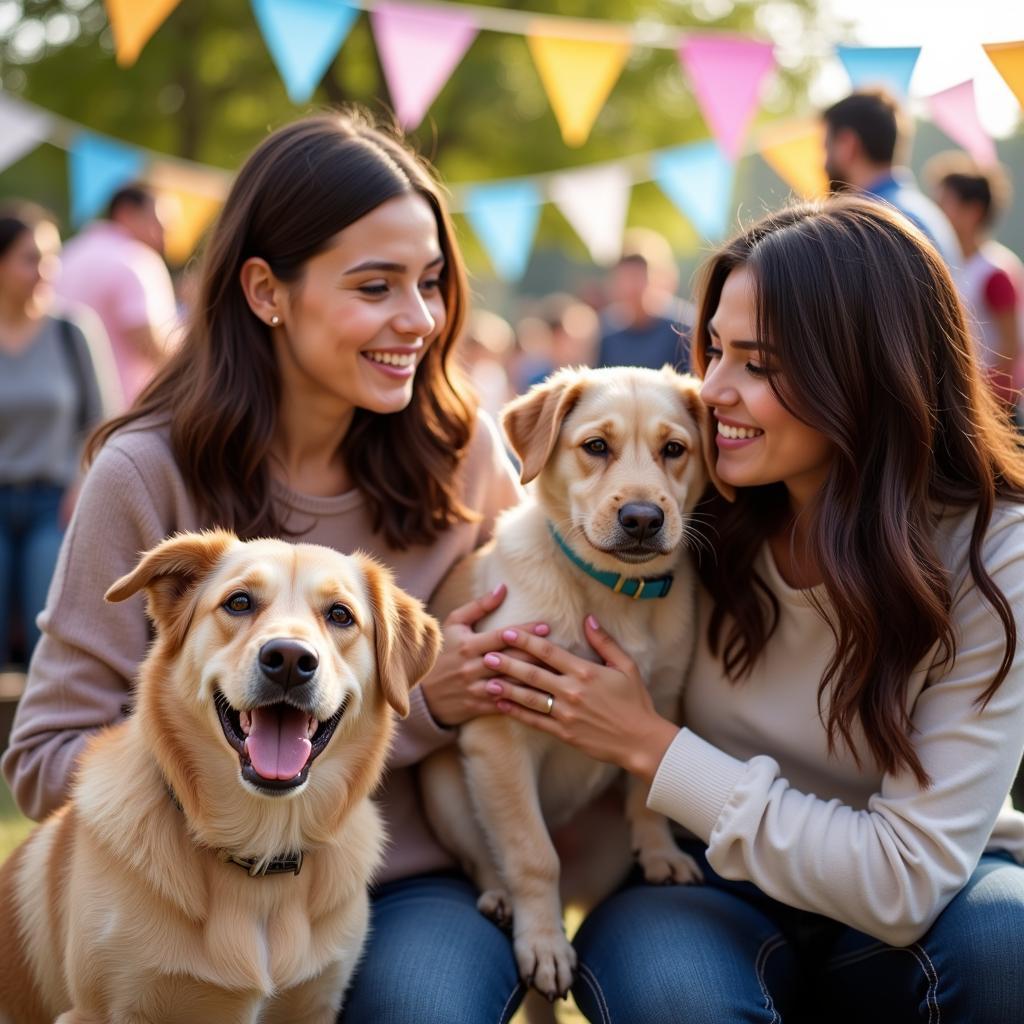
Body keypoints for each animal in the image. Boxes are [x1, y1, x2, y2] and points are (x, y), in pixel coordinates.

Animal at [0, 532, 436, 1024]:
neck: (258, 848)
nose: (289, 658)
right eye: (239, 602)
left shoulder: (313, 1007)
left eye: (340, 615)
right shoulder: (96, 1013)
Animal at [419, 364, 733, 995]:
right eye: (595, 447)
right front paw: (543, 944)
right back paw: (501, 900)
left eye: (674, 450)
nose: (643, 519)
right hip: (447, 787)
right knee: (490, 855)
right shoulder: (499, 733)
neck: (614, 593)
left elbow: (649, 789)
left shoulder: (661, 704)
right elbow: (532, 853)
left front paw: (661, 853)